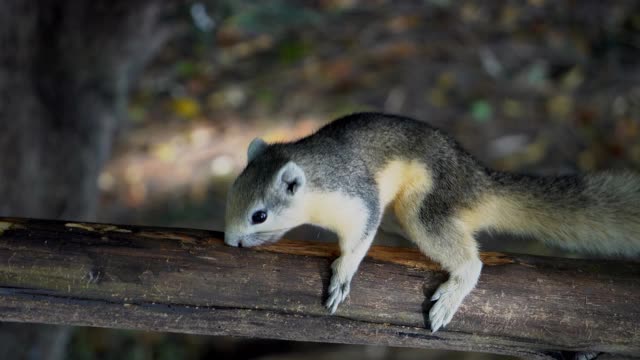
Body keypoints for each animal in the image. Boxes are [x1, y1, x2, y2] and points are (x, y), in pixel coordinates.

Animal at [222, 112, 636, 332]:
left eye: (260, 215)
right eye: (232, 190)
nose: (230, 241)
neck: (315, 179)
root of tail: (477, 181)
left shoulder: (358, 199)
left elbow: (358, 240)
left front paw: (342, 276)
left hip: (423, 206)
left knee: (471, 263)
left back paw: (452, 294)